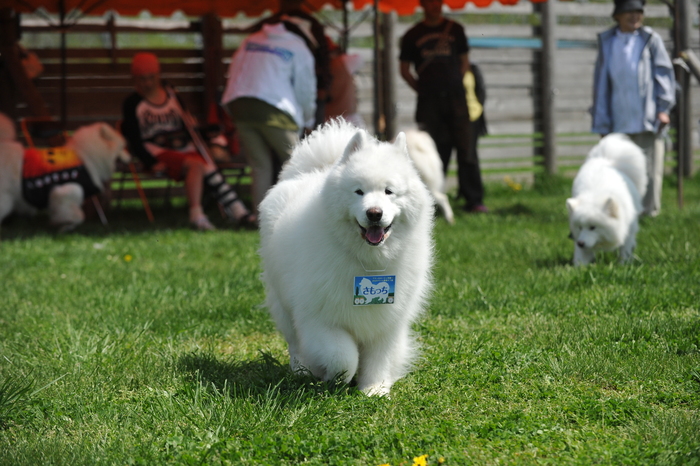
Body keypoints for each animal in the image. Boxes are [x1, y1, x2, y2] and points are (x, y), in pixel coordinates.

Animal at [0, 118, 130, 231]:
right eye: (123, 147)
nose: (130, 157)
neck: (86, 157)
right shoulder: (67, 191)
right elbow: (79, 216)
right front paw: (66, 225)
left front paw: (63, 225)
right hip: (5, 198)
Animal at [260, 120, 434, 396]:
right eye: (358, 192)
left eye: (389, 191)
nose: (374, 213)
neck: (370, 262)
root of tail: (313, 172)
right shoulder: (319, 319)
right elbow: (343, 356)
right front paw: (334, 377)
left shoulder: (387, 321)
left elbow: (379, 357)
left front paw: (374, 388)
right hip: (283, 305)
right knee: (294, 343)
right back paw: (301, 370)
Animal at [568, 134, 648, 266]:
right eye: (580, 227)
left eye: (593, 227)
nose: (580, 243)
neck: (596, 195)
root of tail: (605, 160)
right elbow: (582, 255)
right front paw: (580, 266)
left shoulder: (628, 230)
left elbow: (625, 250)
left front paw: (623, 265)